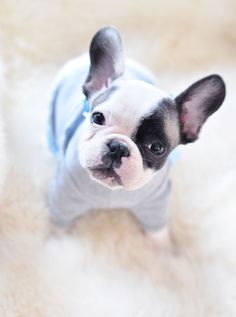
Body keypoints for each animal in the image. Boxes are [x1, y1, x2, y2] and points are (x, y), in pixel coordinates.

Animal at [47, 26, 226, 244]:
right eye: (97, 118)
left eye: (157, 148)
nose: (118, 147)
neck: (111, 192)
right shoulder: (64, 199)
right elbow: (59, 228)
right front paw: (56, 243)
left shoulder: (156, 204)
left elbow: (158, 235)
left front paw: (165, 250)